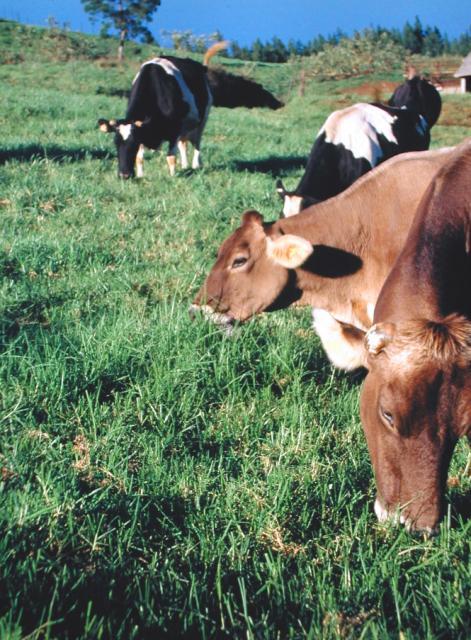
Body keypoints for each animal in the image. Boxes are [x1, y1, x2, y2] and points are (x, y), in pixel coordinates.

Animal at [99, 42, 282, 179]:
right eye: (116, 144)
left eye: (133, 143)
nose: (124, 175)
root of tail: (200, 66)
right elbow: (139, 158)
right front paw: (141, 175)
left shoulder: (173, 129)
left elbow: (170, 157)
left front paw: (173, 176)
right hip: (186, 124)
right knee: (184, 143)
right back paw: (185, 164)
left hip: (203, 118)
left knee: (196, 143)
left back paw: (195, 164)